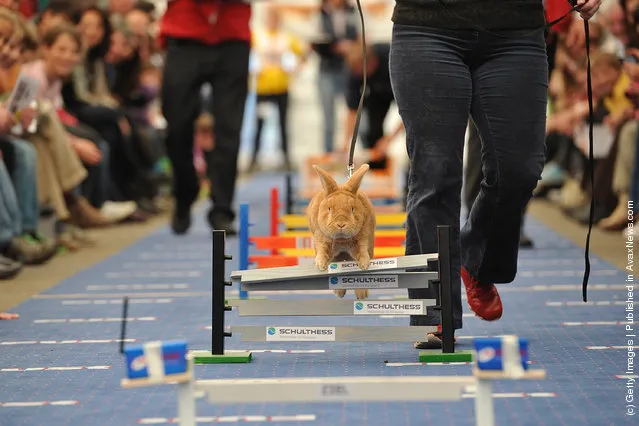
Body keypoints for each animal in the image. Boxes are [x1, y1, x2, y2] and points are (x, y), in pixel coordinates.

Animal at [308, 163, 378, 300]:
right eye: (329, 209)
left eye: (352, 209)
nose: (341, 224)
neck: (341, 241)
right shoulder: (321, 239)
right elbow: (322, 251)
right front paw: (321, 265)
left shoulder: (363, 238)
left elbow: (362, 251)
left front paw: (364, 265)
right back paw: (339, 293)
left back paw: (362, 296)